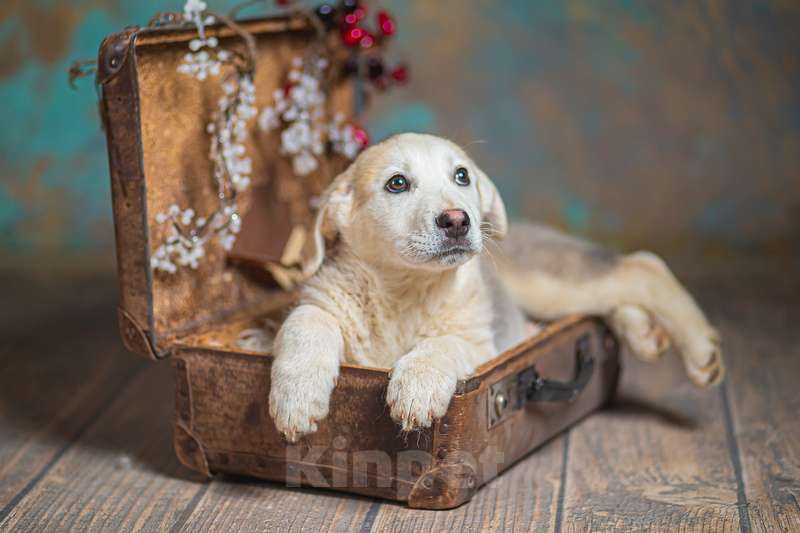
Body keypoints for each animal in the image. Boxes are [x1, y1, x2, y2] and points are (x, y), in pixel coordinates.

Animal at [270, 133, 724, 440]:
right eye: (396, 183)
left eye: (461, 176)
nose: (458, 220)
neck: (405, 290)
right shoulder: (319, 301)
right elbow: (304, 325)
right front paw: (296, 398)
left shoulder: (480, 343)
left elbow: (441, 344)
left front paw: (417, 385)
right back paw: (645, 333)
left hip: (549, 281)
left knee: (641, 266)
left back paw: (701, 349)